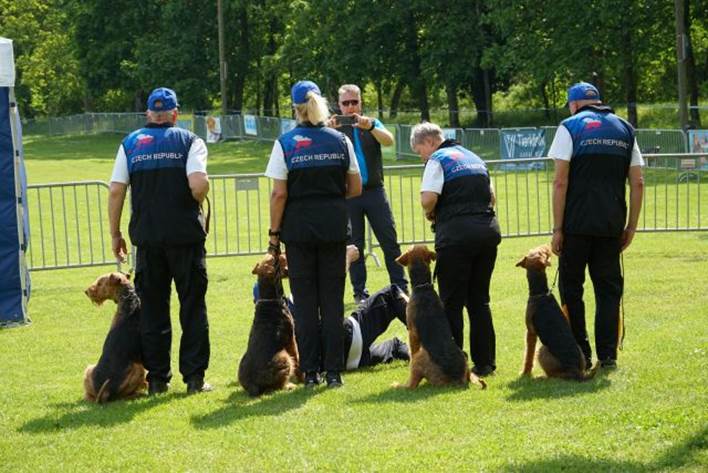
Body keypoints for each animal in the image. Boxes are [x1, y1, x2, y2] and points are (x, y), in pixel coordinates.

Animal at [239, 253, 302, 396]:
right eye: (277, 258)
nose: (284, 252)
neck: (269, 300)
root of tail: (253, 386)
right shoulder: (291, 339)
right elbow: (297, 358)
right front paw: (303, 379)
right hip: (283, 356)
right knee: (276, 387)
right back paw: (290, 386)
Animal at [392, 245, 486, 390]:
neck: (423, 287)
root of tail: (456, 380)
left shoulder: (412, 332)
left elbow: (411, 352)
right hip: (464, 357)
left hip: (420, 356)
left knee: (411, 384)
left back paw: (397, 385)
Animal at [516, 243, 596, 380]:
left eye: (541, 252)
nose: (548, 245)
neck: (540, 292)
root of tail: (575, 369)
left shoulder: (531, 332)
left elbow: (528, 356)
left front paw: (525, 373)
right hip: (580, 352)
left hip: (542, 350)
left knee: (554, 375)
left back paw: (541, 377)